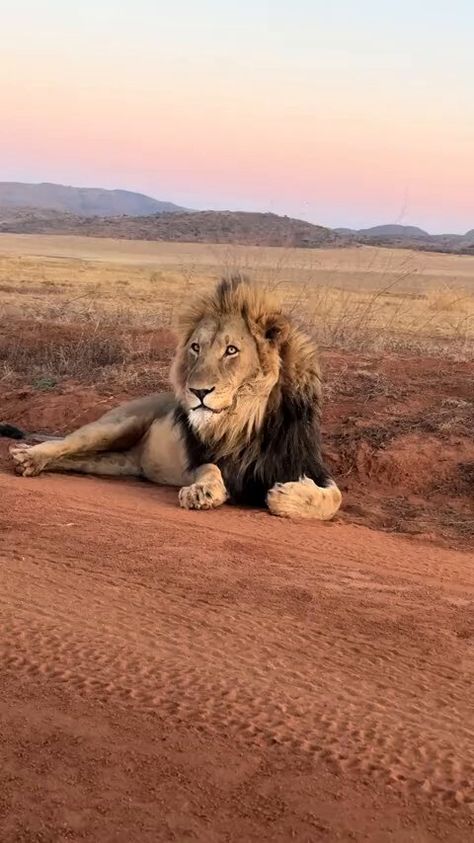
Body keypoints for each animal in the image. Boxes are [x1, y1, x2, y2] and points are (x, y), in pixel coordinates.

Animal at [5, 278, 342, 520]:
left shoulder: (307, 464)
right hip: (116, 425)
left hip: (113, 461)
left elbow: (335, 497)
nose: (198, 392)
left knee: (77, 458)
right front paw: (202, 492)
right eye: (196, 347)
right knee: (66, 443)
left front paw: (286, 495)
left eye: (231, 350)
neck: (249, 417)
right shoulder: (200, 458)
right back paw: (27, 456)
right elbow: (211, 468)